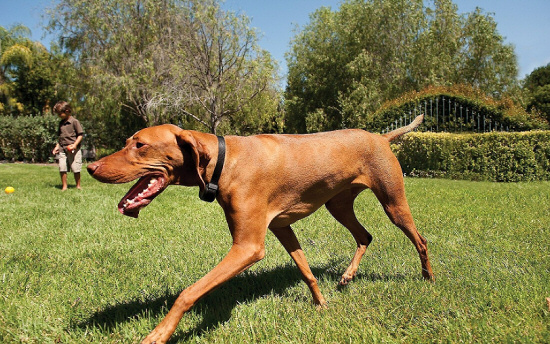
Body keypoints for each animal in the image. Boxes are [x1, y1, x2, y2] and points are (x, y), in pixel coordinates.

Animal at [87, 115, 436, 344]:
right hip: (338, 205)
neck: (224, 160)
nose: (91, 167)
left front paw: (160, 333)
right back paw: (348, 276)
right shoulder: (282, 228)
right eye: (127, 143)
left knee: (420, 239)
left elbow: (187, 294)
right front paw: (320, 304)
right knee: (365, 236)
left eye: (140, 145)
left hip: (393, 203)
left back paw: (428, 278)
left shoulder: (248, 247)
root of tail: (381, 137)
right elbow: (306, 271)